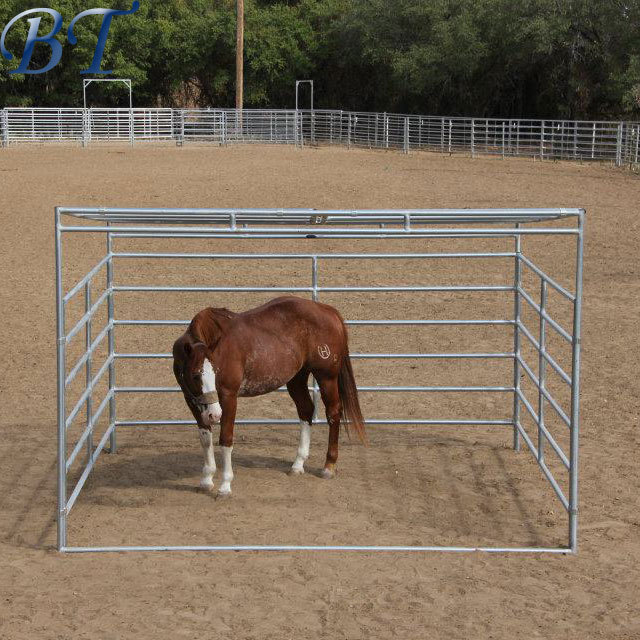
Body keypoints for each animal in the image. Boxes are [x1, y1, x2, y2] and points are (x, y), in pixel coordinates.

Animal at [172, 296, 368, 496]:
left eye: (216, 372)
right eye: (195, 375)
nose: (214, 414)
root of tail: (328, 311)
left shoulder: (229, 397)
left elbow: (225, 439)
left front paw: (225, 486)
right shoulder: (192, 400)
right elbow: (205, 439)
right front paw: (206, 479)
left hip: (326, 377)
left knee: (333, 413)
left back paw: (329, 466)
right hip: (296, 378)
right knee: (306, 410)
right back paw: (298, 464)